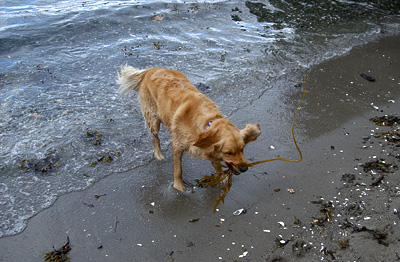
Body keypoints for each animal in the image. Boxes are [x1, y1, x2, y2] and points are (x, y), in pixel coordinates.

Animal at [117, 66, 260, 191]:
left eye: (242, 149)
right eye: (229, 153)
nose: (244, 169)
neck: (206, 123)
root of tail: (149, 70)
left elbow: (217, 165)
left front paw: (222, 178)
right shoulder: (177, 145)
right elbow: (178, 170)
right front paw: (178, 187)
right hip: (153, 116)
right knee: (154, 136)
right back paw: (158, 154)